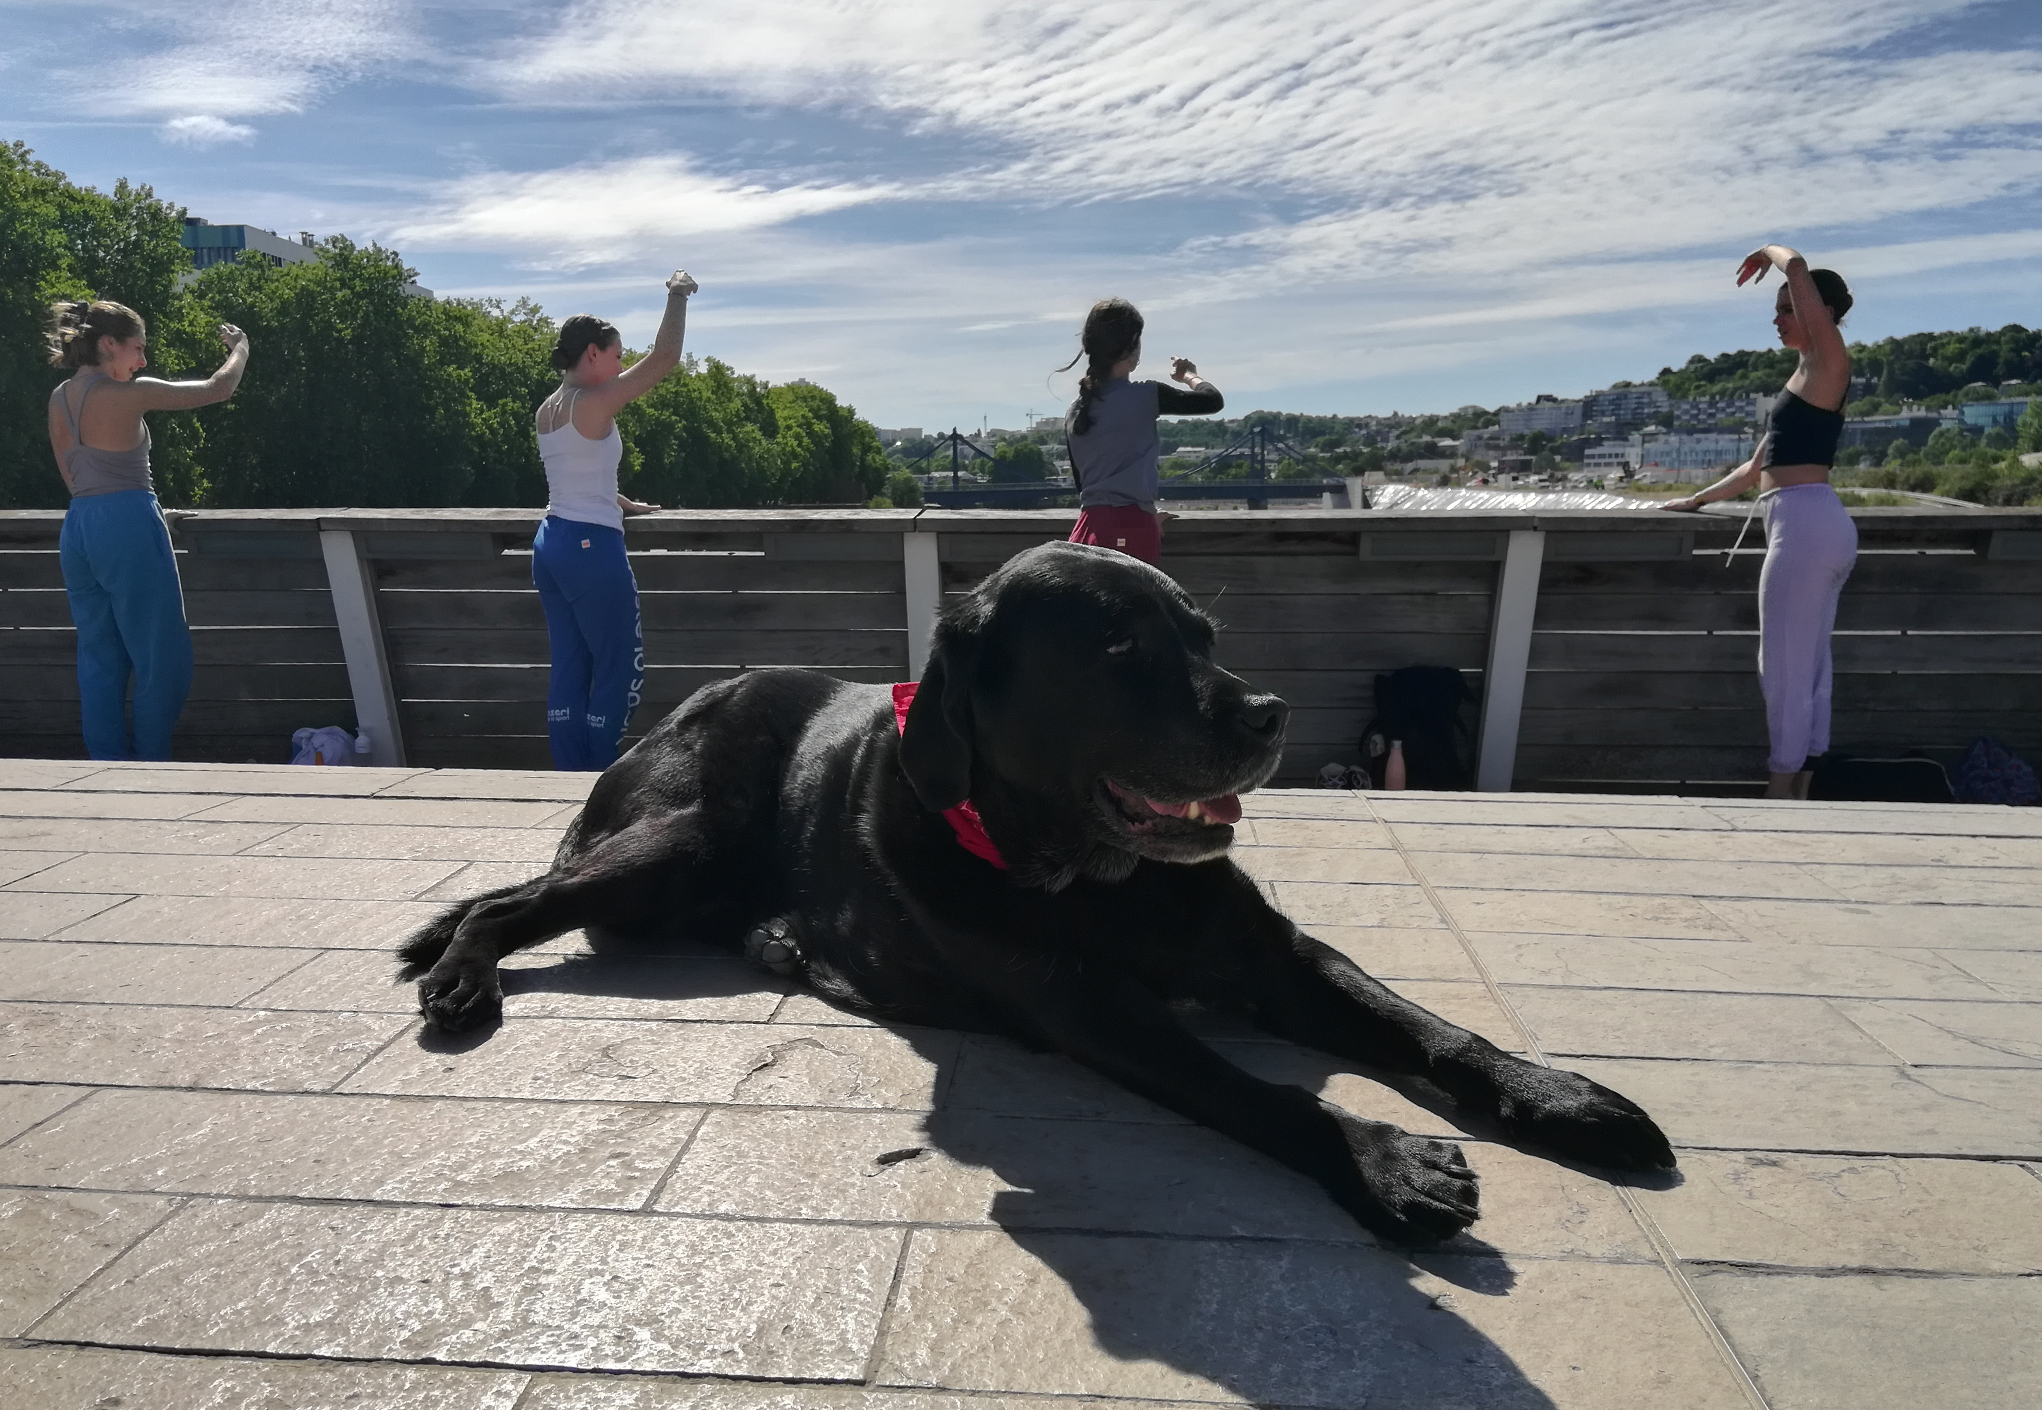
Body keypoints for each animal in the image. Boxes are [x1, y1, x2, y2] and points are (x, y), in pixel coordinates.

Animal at [402, 539, 1674, 1242]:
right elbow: (1249, 1089)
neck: (1096, 882)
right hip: (685, 839)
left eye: (1202, 634)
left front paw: (1555, 1095)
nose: (1268, 714)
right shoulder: (1085, 1005)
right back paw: (463, 981)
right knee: (508, 903)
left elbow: (1421, 1025)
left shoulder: (1274, 957)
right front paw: (1382, 1160)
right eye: (1116, 648)